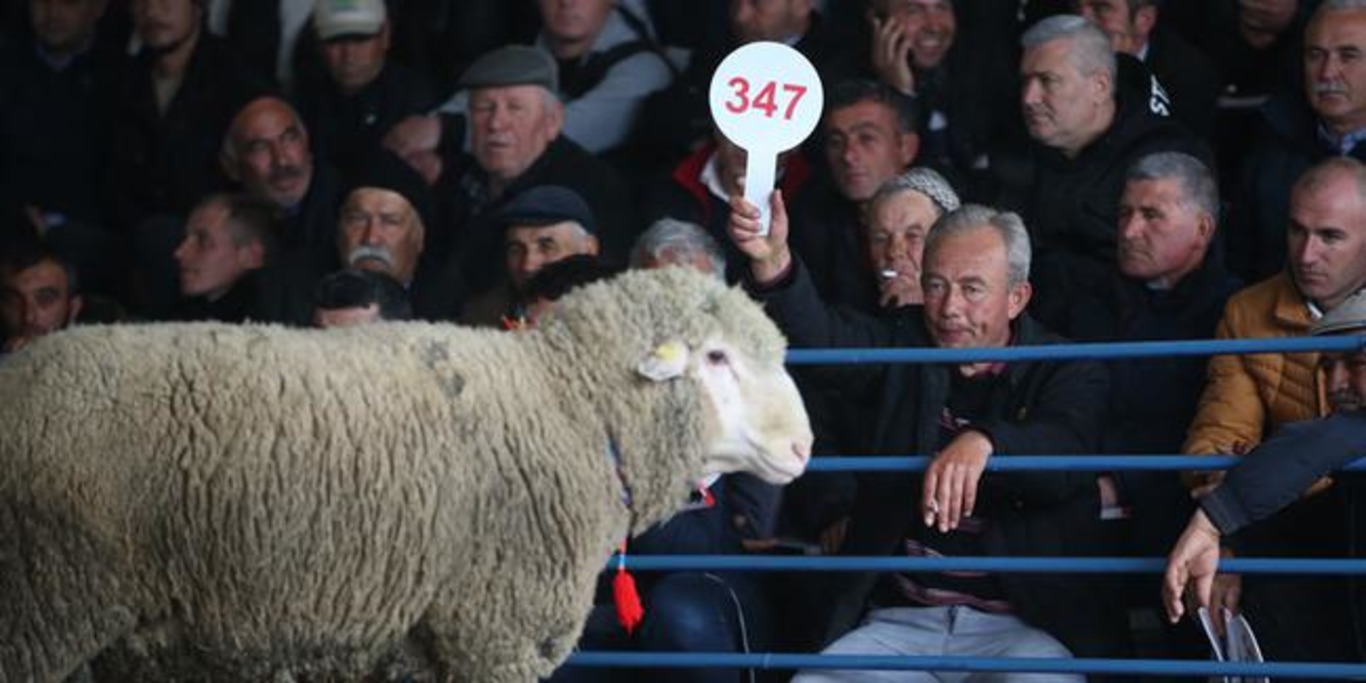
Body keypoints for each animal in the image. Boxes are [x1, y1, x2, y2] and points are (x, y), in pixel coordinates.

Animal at [0, 266, 808, 683]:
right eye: (715, 357)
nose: (803, 446)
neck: (568, 405)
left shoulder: (423, 641)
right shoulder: (495, 629)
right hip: (45, 601)